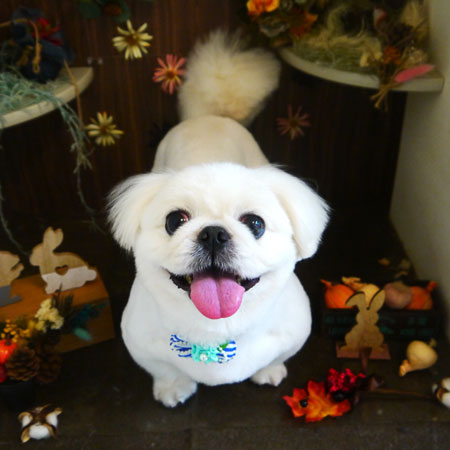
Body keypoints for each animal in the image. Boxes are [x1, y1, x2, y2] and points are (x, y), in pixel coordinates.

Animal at [108, 31, 329, 407]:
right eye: (174, 221)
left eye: (256, 224)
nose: (213, 233)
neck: (217, 334)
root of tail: (211, 114)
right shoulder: (141, 344)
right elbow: (164, 370)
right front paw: (173, 389)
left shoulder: (295, 332)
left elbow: (277, 357)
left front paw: (268, 372)